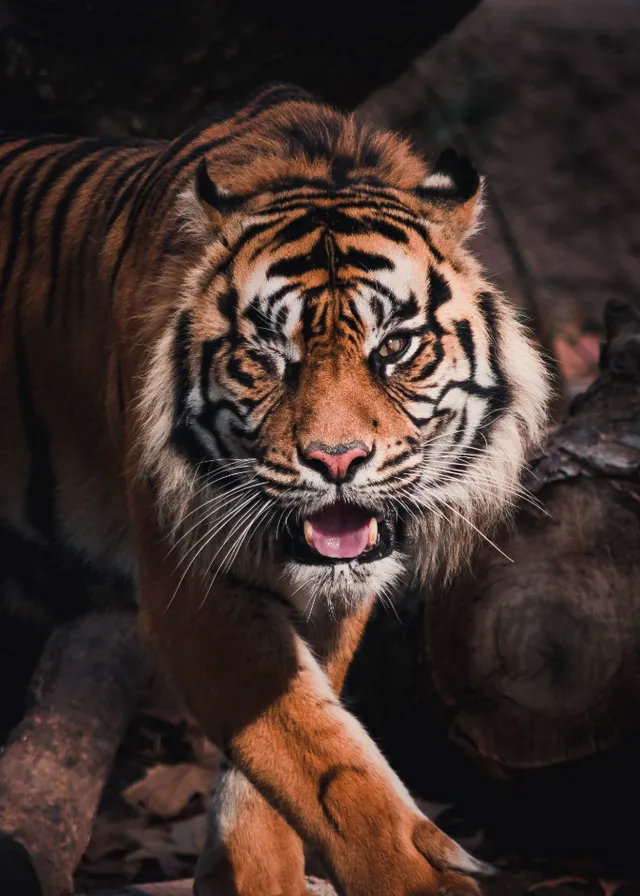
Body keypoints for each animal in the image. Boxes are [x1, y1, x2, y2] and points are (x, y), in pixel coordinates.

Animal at [0, 86, 552, 896]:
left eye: (395, 348)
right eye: (267, 357)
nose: (337, 460)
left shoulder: (327, 602)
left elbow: (288, 755)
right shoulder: (192, 590)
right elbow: (316, 758)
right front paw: (412, 873)